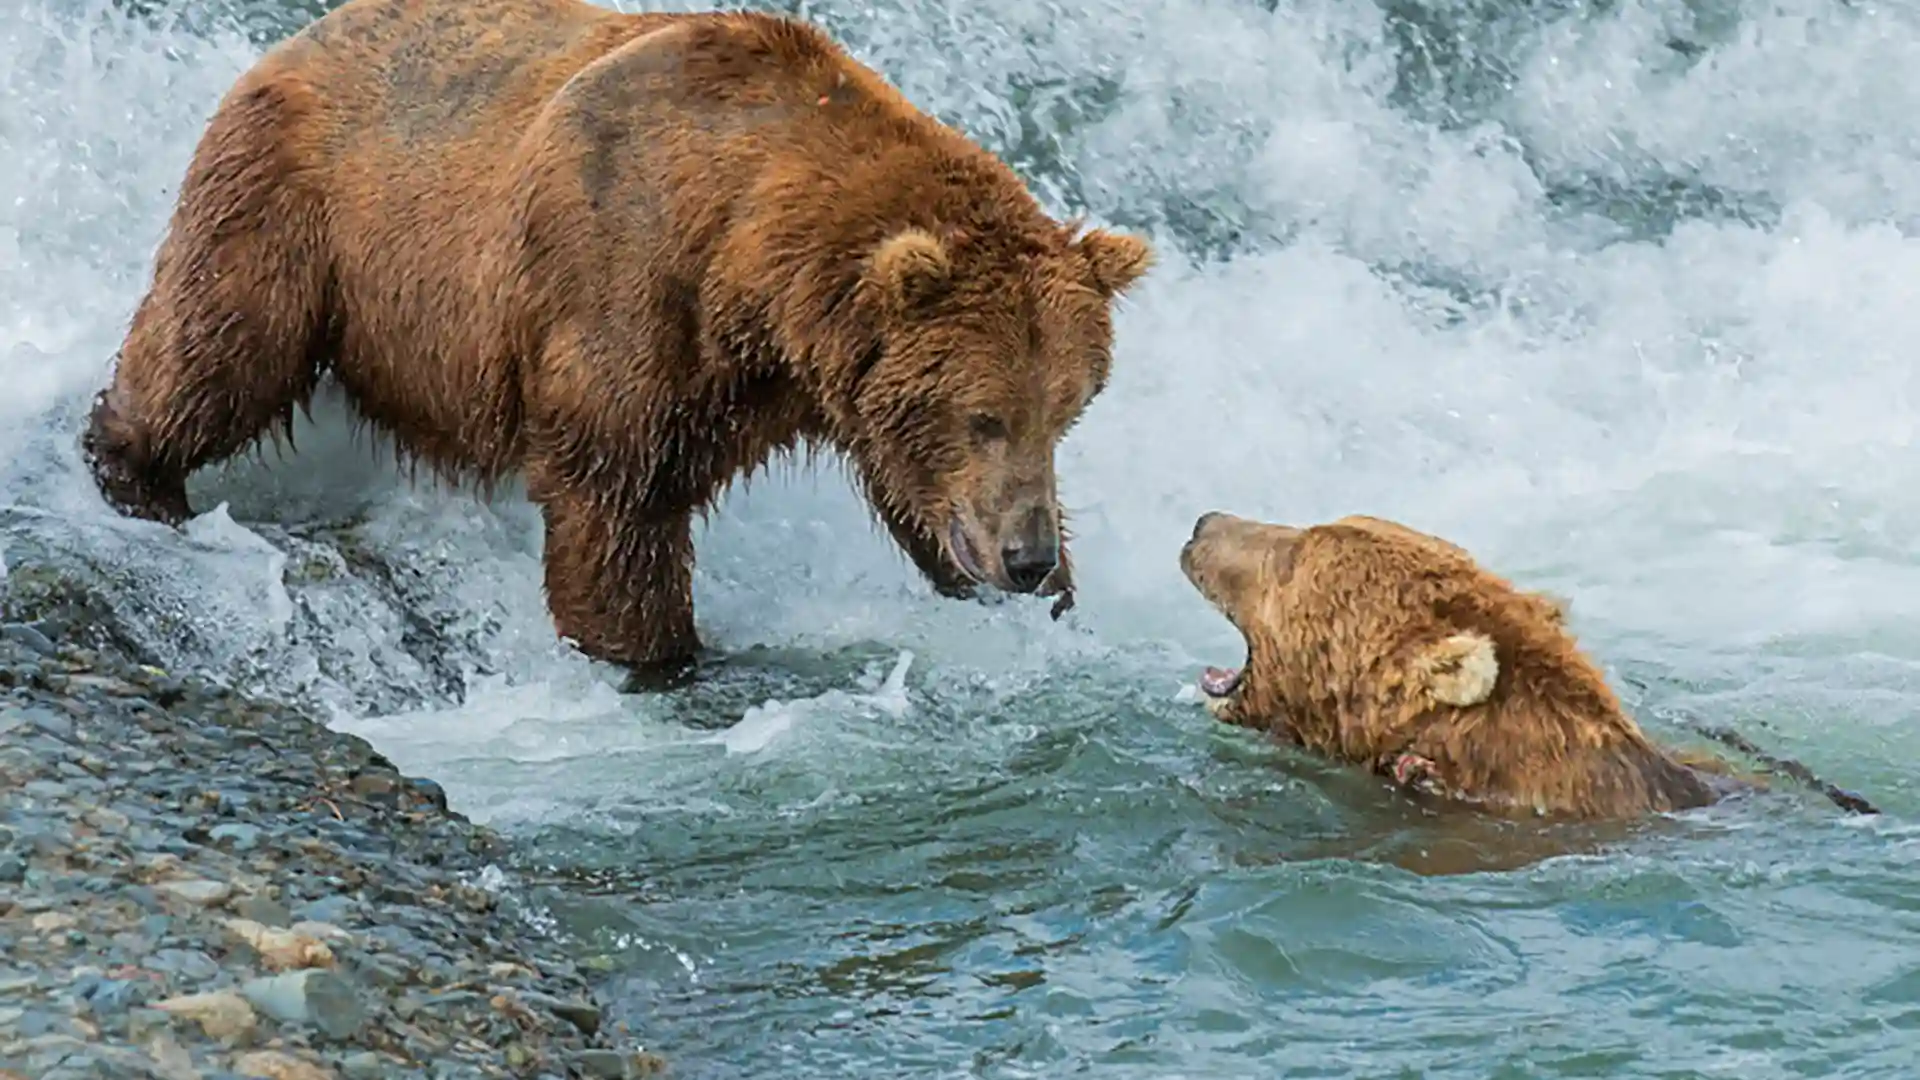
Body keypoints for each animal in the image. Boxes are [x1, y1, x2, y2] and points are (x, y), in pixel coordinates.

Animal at [78, 0, 1152, 676]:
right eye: (984, 415)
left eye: (1067, 409)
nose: (1026, 557)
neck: (748, 266)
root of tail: (298, 37)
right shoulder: (624, 289)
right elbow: (616, 501)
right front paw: (649, 652)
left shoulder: (830, 383)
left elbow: (909, 489)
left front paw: (1054, 603)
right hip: (302, 211)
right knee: (220, 349)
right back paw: (134, 468)